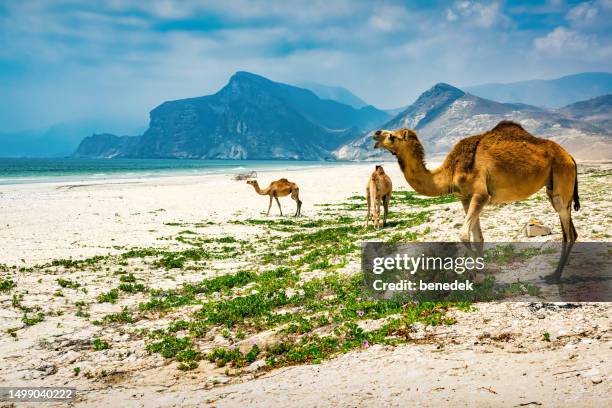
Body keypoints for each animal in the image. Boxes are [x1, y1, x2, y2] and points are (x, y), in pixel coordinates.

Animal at [372, 119, 580, 282]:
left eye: (392, 136)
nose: (376, 133)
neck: (451, 170)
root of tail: (570, 157)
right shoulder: (465, 198)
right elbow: (478, 238)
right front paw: (479, 273)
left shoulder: (480, 195)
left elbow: (464, 235)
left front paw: (479, 273)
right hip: (553, 187)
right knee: (571, 229)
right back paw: (555, 274)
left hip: (562, 177)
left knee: (568, 232)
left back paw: (555, 276)